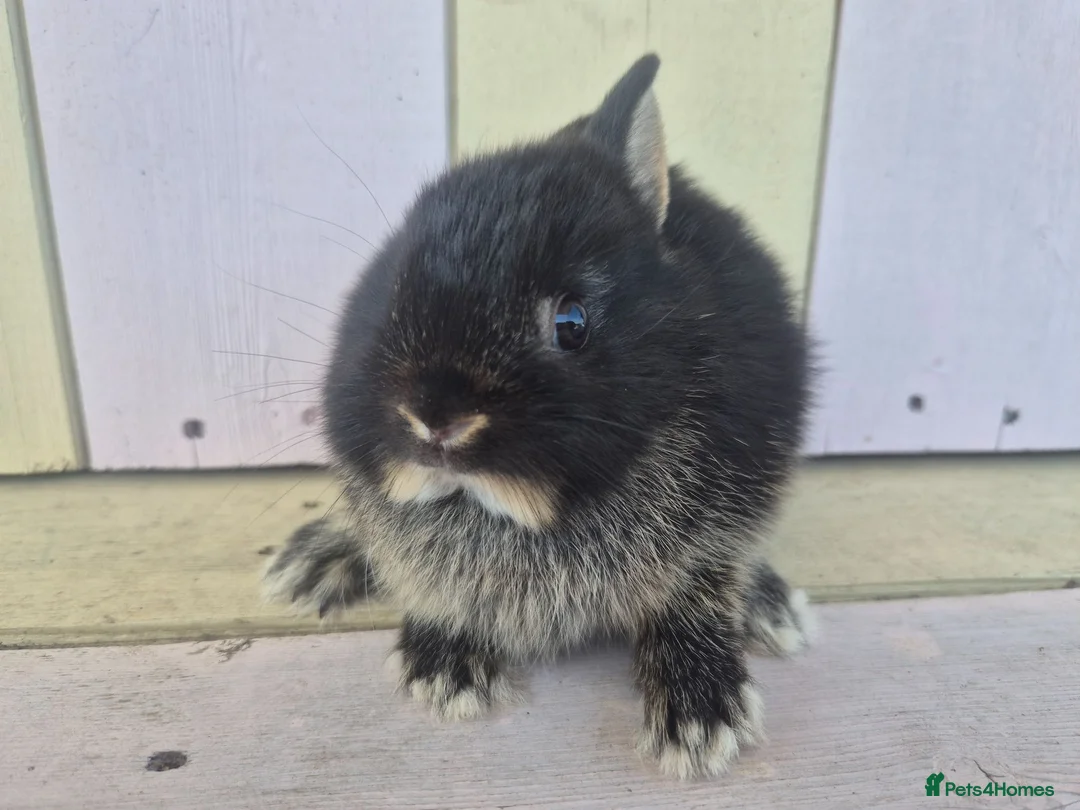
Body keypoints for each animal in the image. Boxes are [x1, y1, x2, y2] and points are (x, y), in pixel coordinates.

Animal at [264, 53, 815, 780]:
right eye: (390, 291)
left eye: (571, 323)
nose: (434, 417)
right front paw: (444, 669)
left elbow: (696, 587)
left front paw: (702, 718)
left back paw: (773, 609)